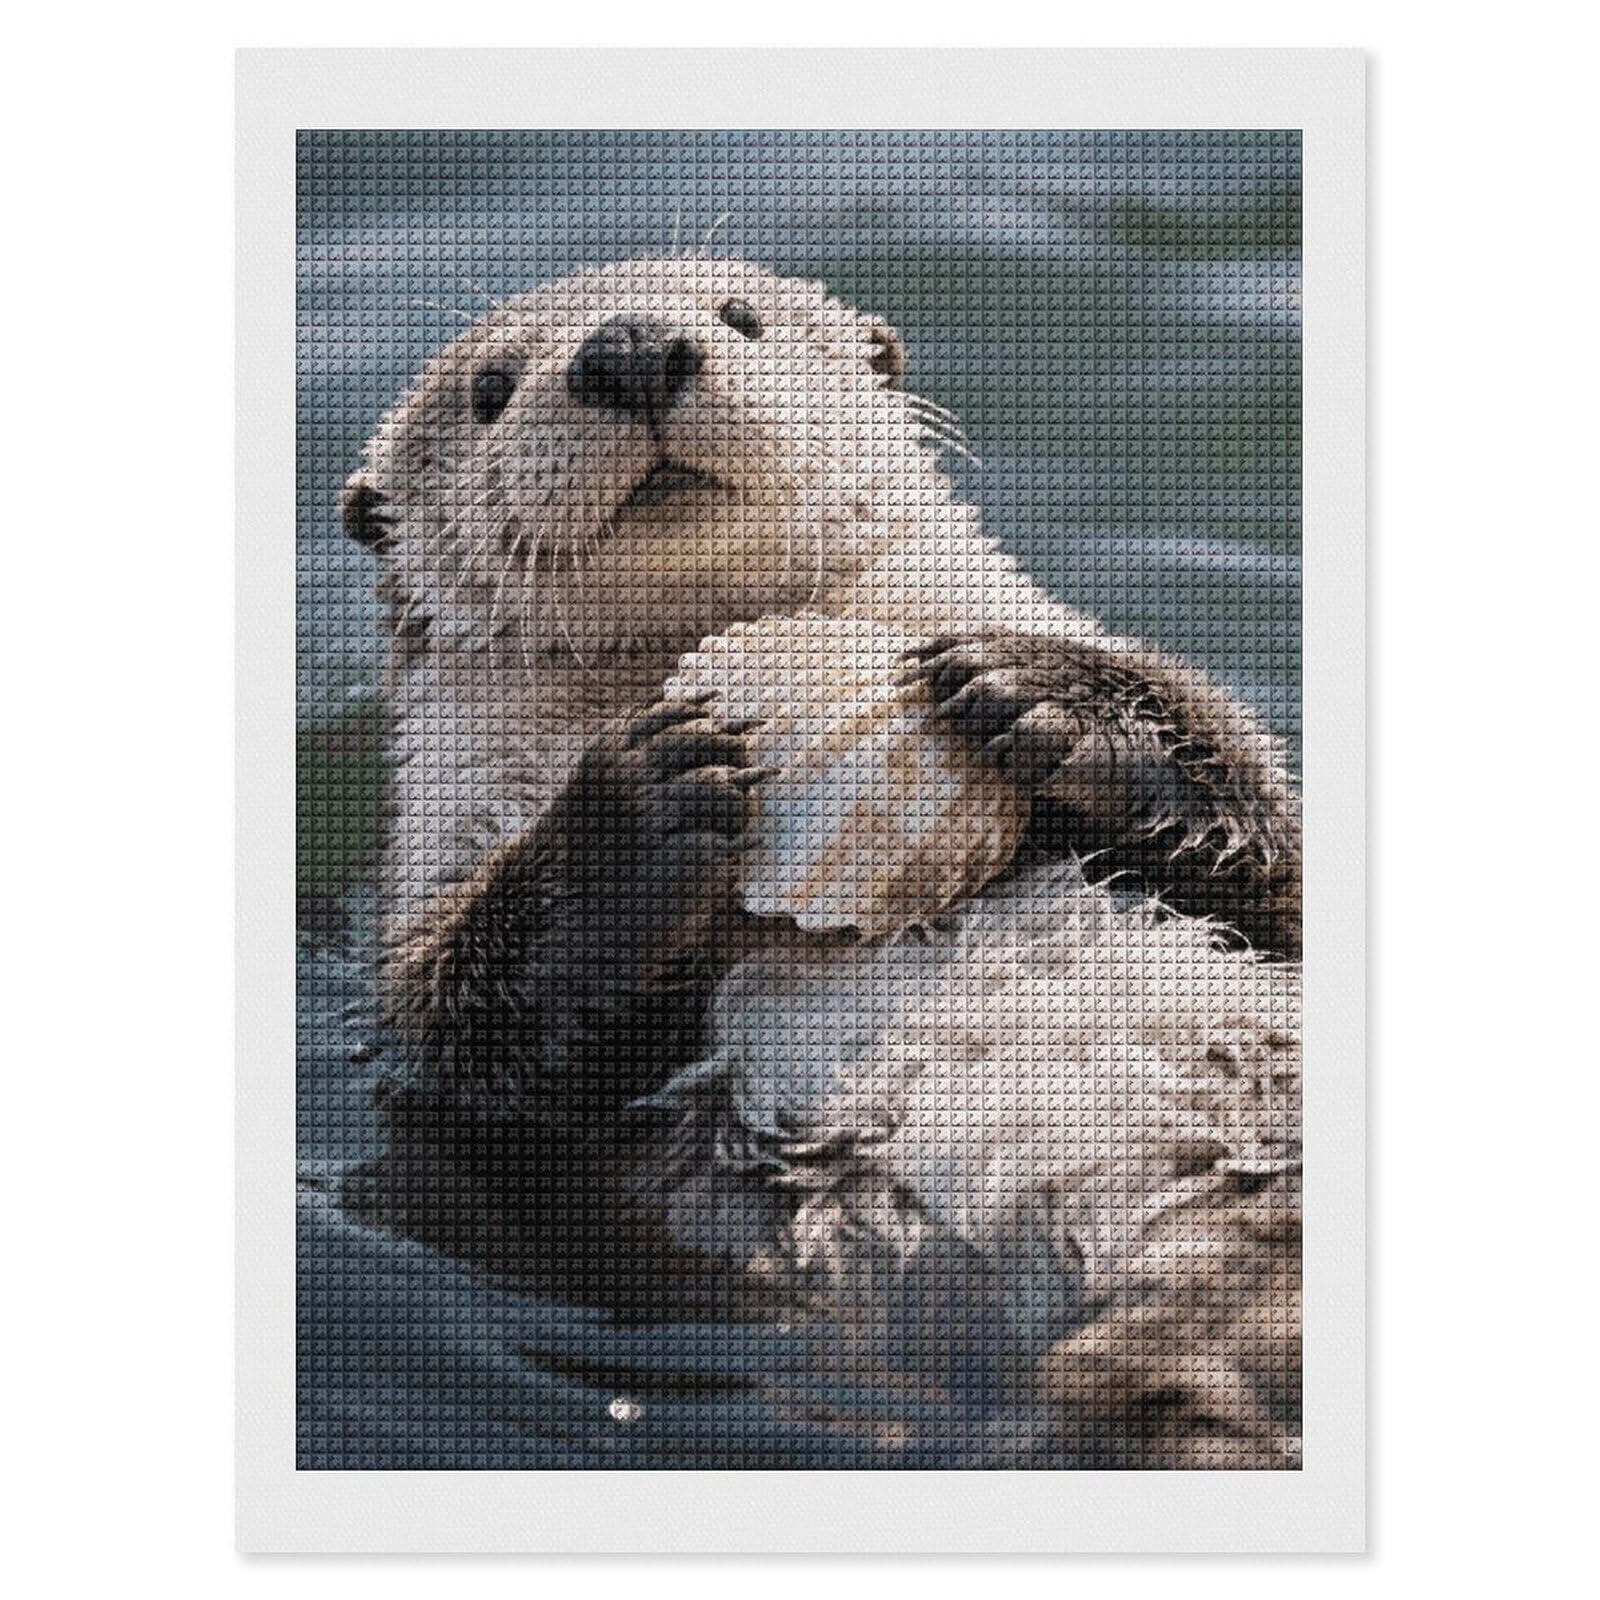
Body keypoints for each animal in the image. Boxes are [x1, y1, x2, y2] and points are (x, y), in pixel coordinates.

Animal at [336, 256, 1302, 1464]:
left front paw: (1049, 697)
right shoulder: (433, 870)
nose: (630, 347)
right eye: (490, 390)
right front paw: (640, 805)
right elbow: (473, 1043)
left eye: (741, 317)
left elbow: (1280, 866)